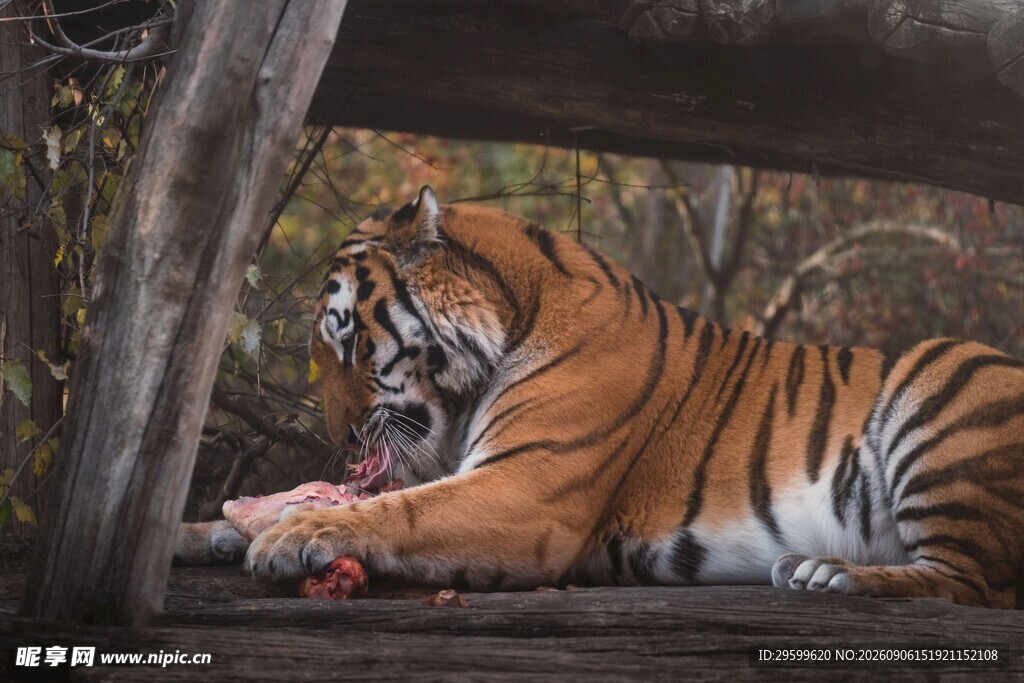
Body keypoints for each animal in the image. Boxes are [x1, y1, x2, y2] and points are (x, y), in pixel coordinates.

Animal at [179, 185, 1024, 608]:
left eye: (351, 344)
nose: (341, 435)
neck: (514, 314)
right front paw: (207, 531)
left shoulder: (528, 488)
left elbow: (401, 510)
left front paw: (295, 532)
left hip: (947, 379)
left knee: (972, 584)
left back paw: (831, 573)